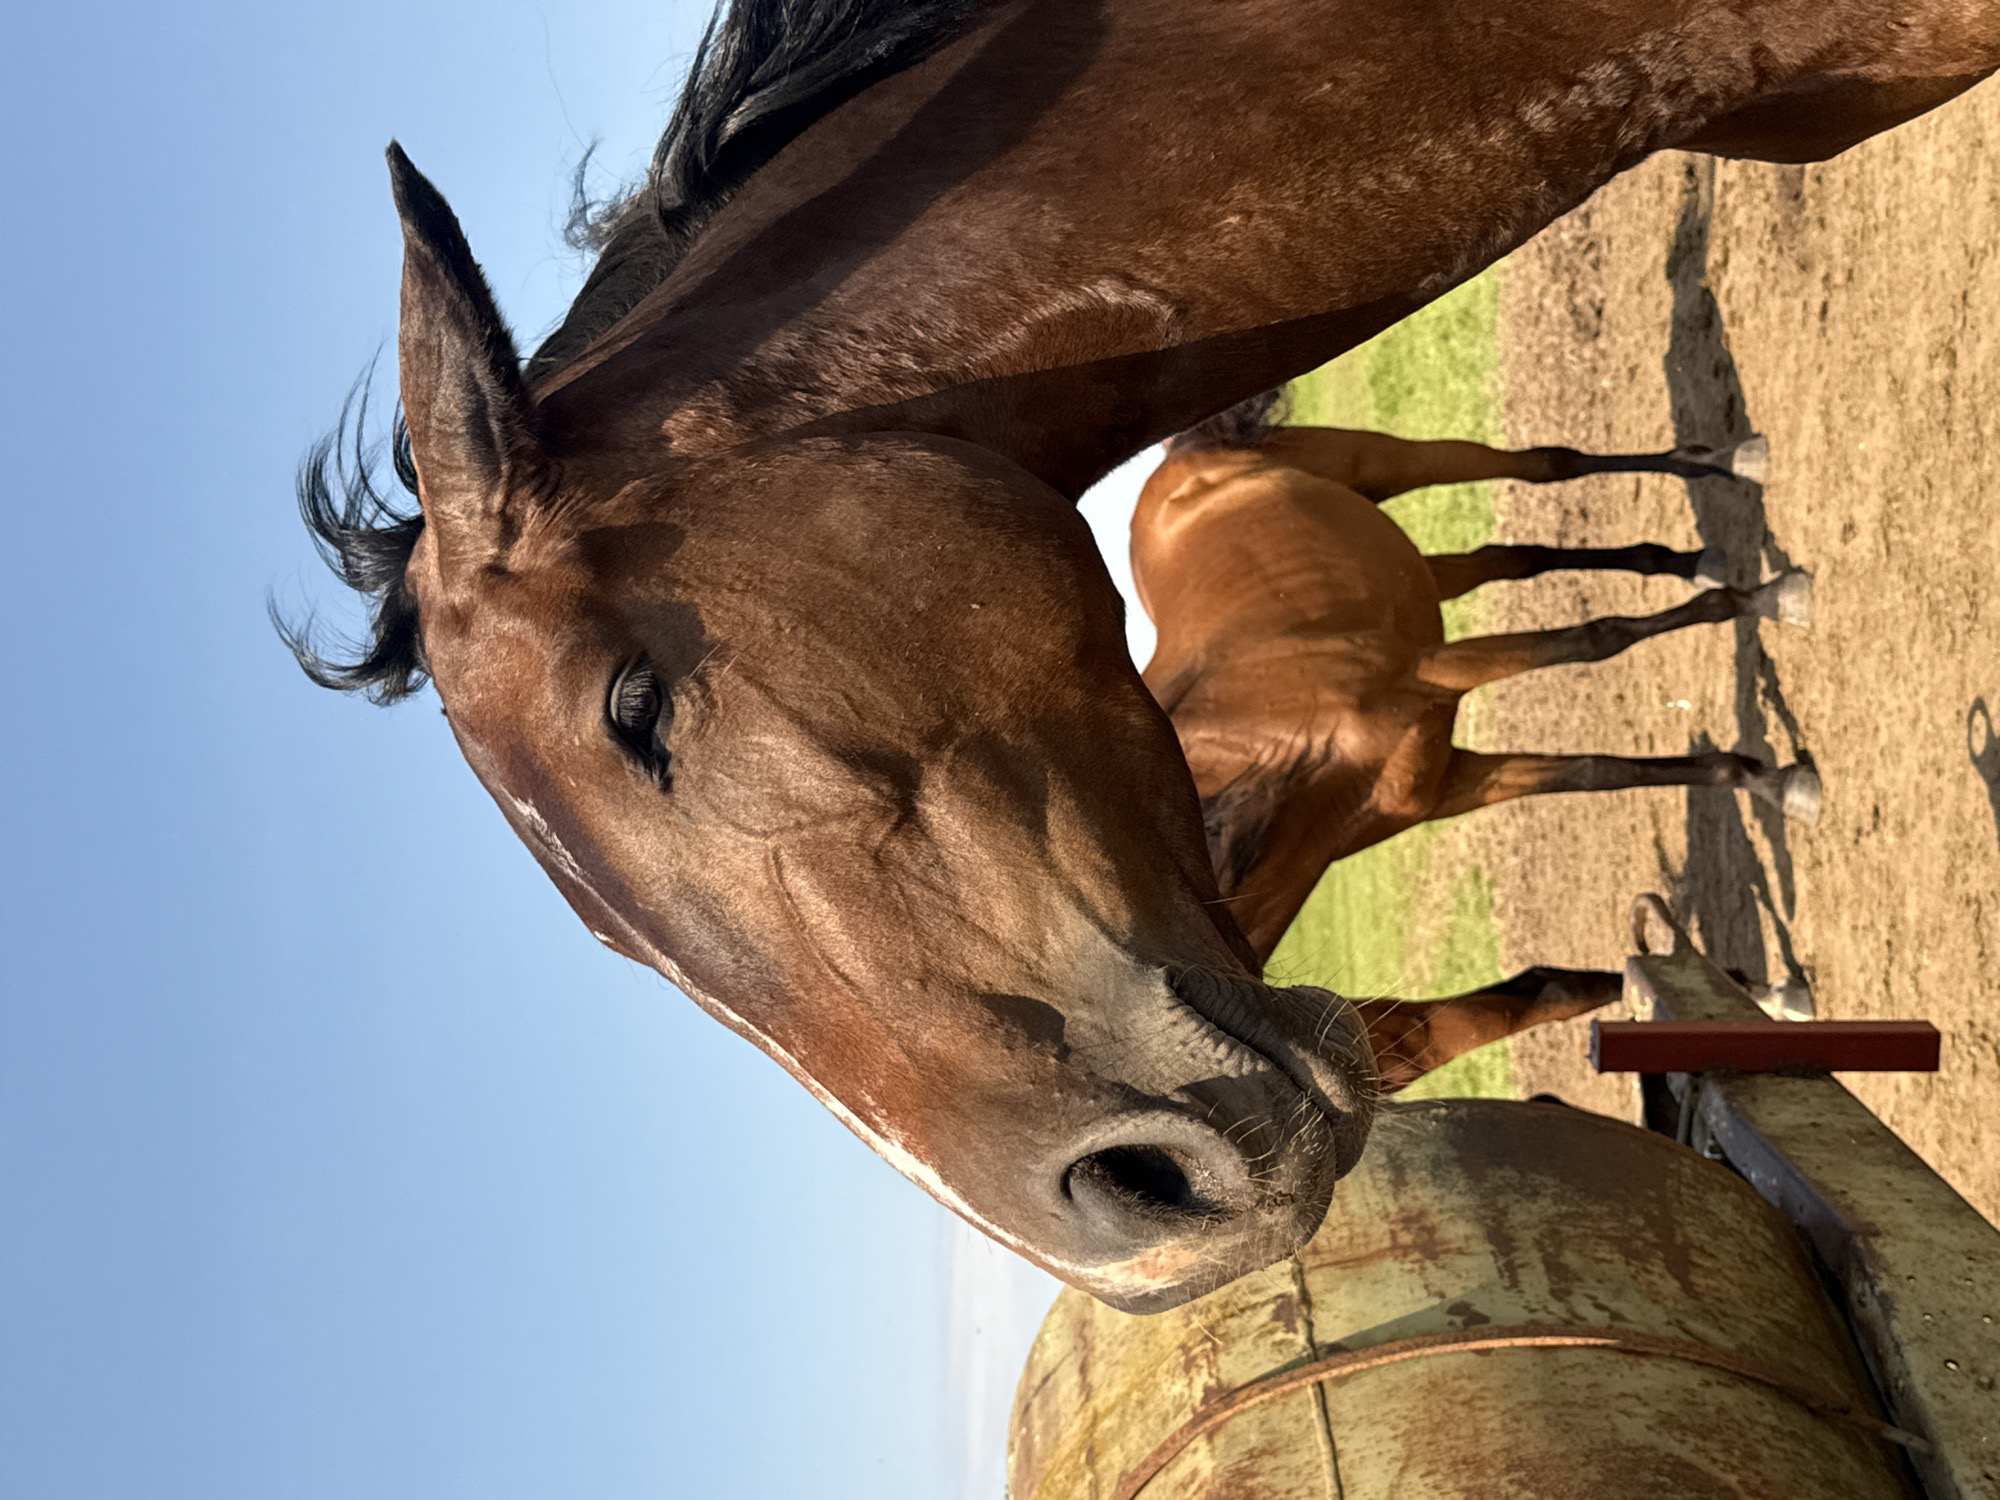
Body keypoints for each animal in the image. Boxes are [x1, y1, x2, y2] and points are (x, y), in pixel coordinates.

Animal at [1136, 403, 1814, 1089]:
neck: (1272, 741)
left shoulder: (1436, 671)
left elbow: (1599, 637)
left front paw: (1757, 602)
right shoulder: (1446, 786)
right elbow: (1596, 772)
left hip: (1395, 461)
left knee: (1546, 464)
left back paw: (1732, 464)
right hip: (1424, 567)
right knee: (1510, 558)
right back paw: (1689, 556)